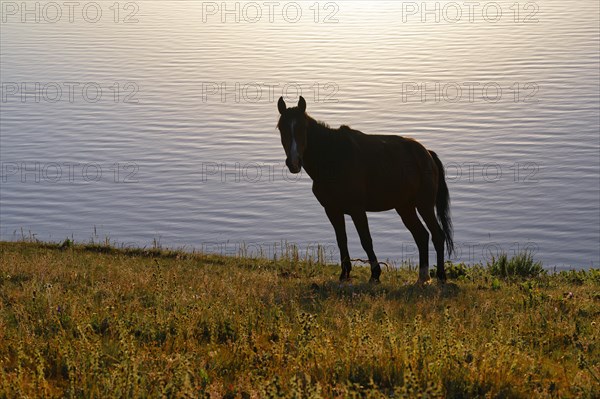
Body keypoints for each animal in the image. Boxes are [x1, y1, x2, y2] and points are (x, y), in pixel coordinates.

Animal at [274, 96, 452, 284]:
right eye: (281, 128)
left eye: (303, 128)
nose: (294, 162)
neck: (333, 158)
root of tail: (426, 154)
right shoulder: (332, 210)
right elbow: (341, 240)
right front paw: (344, 274)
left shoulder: (357, 209)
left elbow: (366, 240)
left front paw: (375, 274)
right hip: (405, 207)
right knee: (421, 236)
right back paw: (422, 277)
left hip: (424, 205)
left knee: (437, 236)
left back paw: (440, 276)